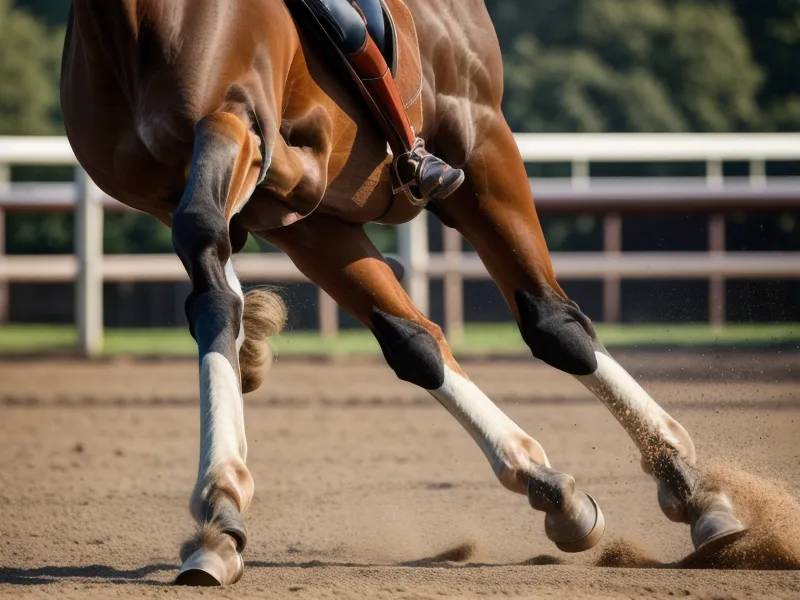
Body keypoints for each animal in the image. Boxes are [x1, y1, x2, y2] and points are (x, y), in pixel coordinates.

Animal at [59, 0, 747, 586]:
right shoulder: (277, 214)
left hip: (479, 138)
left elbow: (231, 224)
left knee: (552, 320)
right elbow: (219, 295)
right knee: (415, 339)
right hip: (333, 219)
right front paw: (220, 514)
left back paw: (688, 485)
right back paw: (549, 484)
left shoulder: (234, 125)